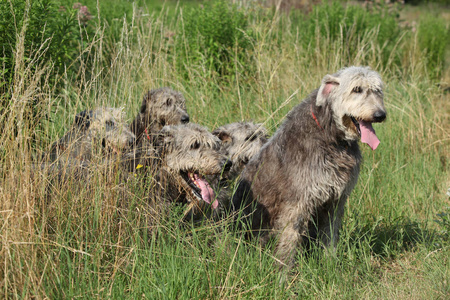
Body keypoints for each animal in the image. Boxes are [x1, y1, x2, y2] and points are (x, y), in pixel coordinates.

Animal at [232, 66, 386, 268]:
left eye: (378, 90)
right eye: (357, 89)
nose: (380, 115)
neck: (328, 134)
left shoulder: (336, 199)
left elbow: (330, 233)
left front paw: (330, 261)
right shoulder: (298, 202)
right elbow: (290, 238)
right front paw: (284, 271)